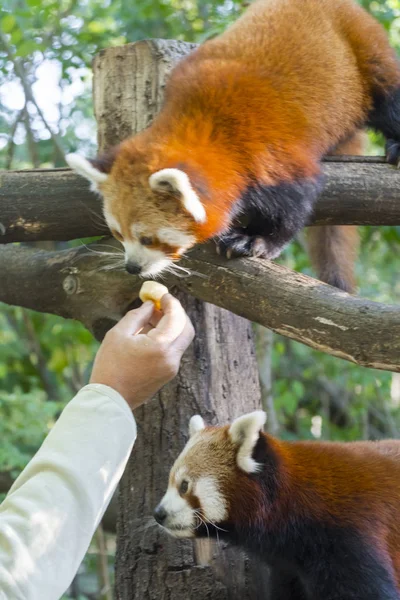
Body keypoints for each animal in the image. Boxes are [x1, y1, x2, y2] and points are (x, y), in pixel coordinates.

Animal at [67, 0, 400, 290]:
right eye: (117, 233)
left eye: (148, 239)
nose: (132, 268)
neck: (204, 124)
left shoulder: (271, 150)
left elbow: (294, 203)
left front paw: (255, 240)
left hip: (364, 49)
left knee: (388, 97)